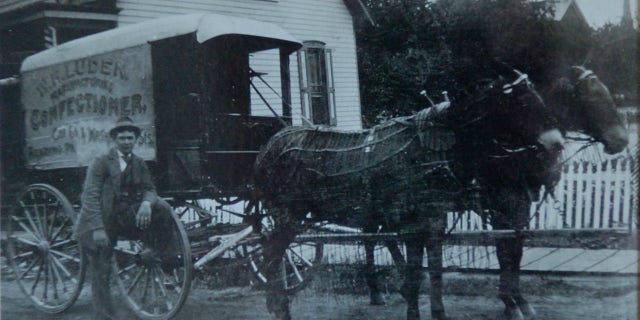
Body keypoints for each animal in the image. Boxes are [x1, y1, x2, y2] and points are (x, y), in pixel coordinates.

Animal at [252, 70, 564, 320]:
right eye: (523, 104)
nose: (557, 145)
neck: (431, 152)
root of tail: (269, 147)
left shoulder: (436, 220)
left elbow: (436, 273)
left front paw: (441, 314)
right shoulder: (415, 225)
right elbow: (418, 276)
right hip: (288, 215)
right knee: (271, 254)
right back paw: (281, 308)